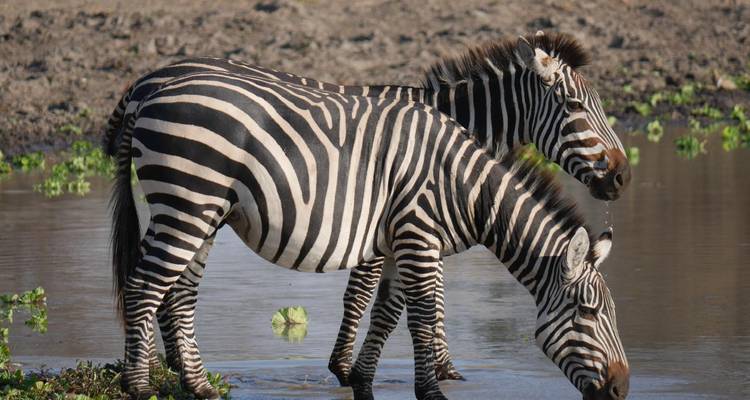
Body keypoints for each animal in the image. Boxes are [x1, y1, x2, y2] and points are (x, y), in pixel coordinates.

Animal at [104, 31, 631, 386]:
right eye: (576, 108)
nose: (623, 177)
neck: (454, 126)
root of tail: (146, 82)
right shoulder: (389, 225)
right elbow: (370, 298)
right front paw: (352, 367)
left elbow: (414, 301)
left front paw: (431, 366)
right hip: (190, 202)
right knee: (158, 285)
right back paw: (160, 372)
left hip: (197, 209)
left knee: (173, 287)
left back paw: (175, 370)